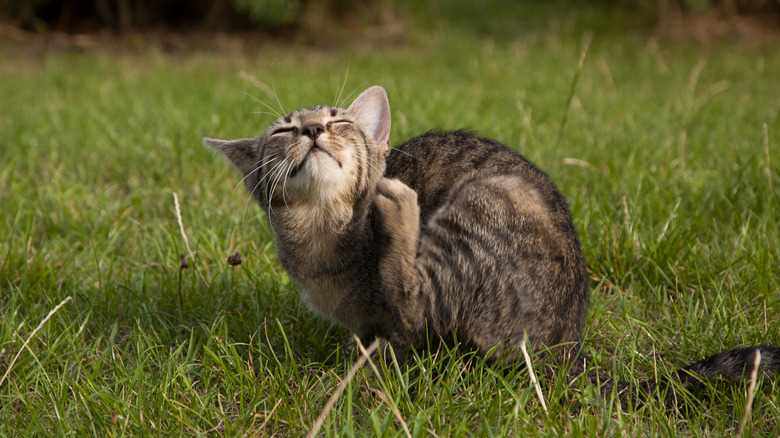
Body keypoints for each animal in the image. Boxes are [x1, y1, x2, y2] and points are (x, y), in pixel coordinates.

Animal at [206, 86, 780, 404]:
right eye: (282, 132)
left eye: (340, 120)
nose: (311, 129)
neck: (323, 233)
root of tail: (566, 353)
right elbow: (374, 337)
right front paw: (362, 355)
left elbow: (405, 327)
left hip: (483, 200)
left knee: (417, 298)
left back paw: (402, 208)